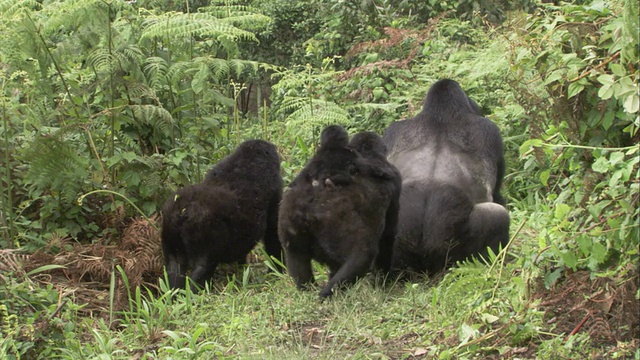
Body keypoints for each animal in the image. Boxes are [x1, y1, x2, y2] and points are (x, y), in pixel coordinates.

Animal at [162, 139, 284, 292]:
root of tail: (183, 210)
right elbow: (273, 232)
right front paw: (277, 270)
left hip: (169, 219)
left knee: (174, 266)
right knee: (203, 268)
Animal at [278, 129, 400, 298]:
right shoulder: (394, 177)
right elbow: (388, 235)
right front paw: (382, 283)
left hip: (289, 216)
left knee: (295, 254)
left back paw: (307, 292)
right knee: (362, 254)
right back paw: (326, 295)